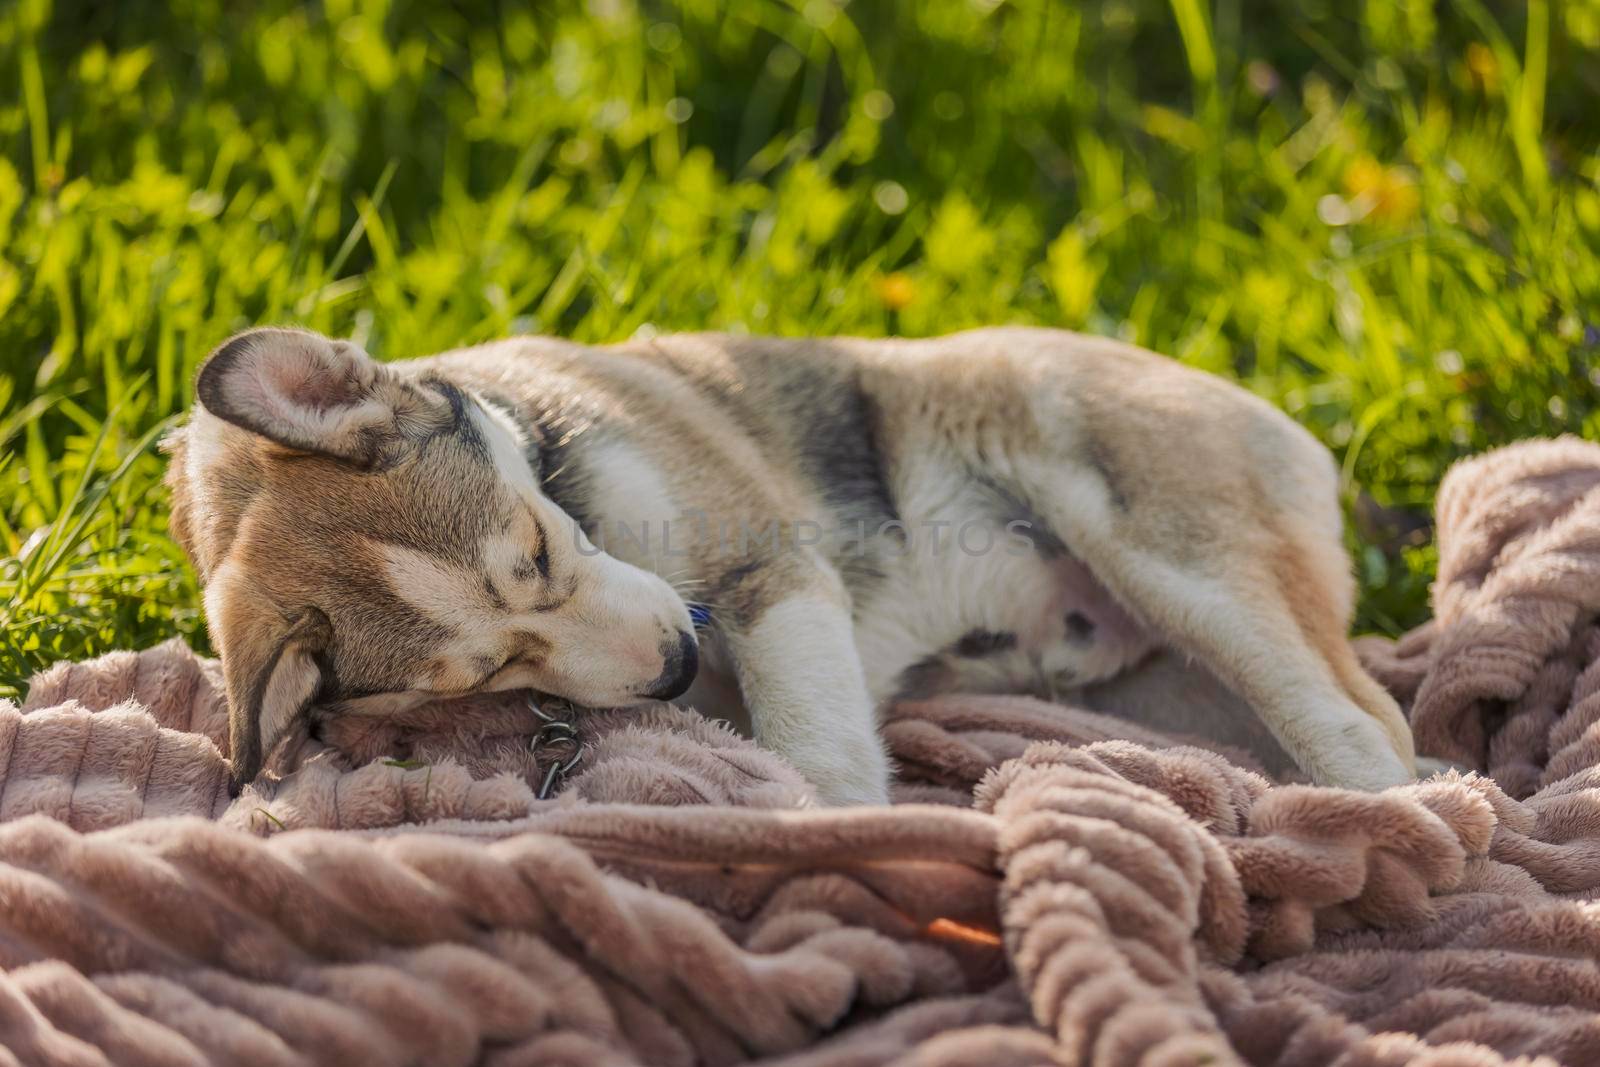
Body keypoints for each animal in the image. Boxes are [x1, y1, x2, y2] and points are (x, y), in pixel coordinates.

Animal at [159, 329, 1414, 806]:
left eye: (539, 547)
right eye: (485, 673)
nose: (676, 664)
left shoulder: (773, 569)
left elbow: (812, 741)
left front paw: (833, 831)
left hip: (1167, 549)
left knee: (1365, 725)